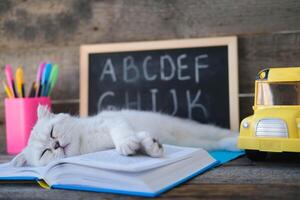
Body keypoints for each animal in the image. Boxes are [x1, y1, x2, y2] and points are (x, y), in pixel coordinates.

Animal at [11, 104, 240, 167]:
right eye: (45, 153)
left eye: (52, 132)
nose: (56, 145)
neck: (86, 143)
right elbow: (142, 140)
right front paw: (150, 146)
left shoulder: (114, 121)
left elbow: (122, 134)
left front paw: (127, 144)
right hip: (196, 140)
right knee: (216, 142)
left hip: (197, 130)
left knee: (223, 134)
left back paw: (241, 138)